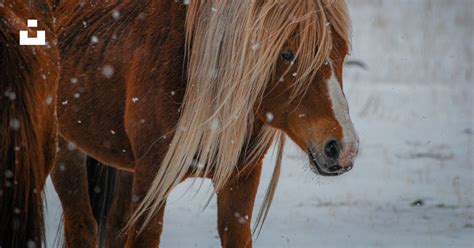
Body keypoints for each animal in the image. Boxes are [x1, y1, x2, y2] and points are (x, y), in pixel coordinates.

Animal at [51, 0, 360, 247]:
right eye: (287, 53)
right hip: (65, 150)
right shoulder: (151, 180)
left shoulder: (241, 180)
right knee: (82, 227)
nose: (344, 148)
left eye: (343, 52)